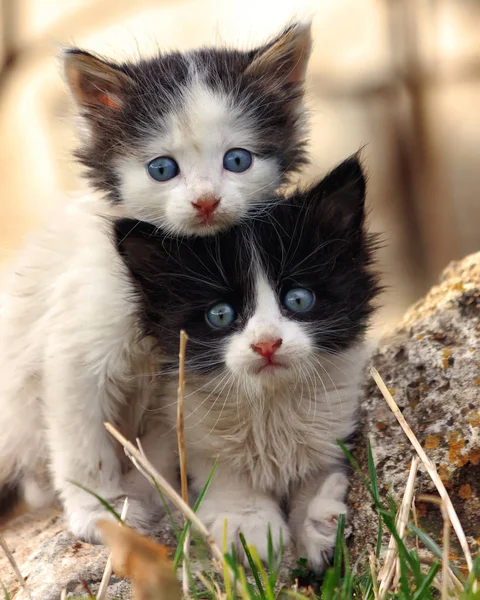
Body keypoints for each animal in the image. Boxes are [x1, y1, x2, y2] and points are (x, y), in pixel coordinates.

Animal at [114, 157, 380, 568]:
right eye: (221, 315)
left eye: (298, 299)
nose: (267, 344)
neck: (271, 406)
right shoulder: (187, 431)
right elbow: (221, 470)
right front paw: (248, 525)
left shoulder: (334, 425)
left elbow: (319, 472)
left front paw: (316, 523)